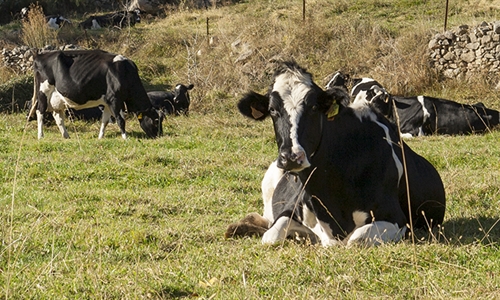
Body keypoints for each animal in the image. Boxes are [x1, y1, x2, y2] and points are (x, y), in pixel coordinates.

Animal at [28, 48, 162, 139]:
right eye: (156, 121)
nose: (160, 135)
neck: (125, 72)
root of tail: (39, 55)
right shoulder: (115, 99)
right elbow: (120, 120)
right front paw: (125, 138)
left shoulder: (108, 102)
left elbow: (105, 120)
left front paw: (100, 137)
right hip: (44, 91)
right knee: (40, 112)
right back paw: (41, 136)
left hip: (57, 98)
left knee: (57, 116)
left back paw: (66, 136)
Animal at [227, 61, 446, 246]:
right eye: (272, 110)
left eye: (314, 107)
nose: (291, 157)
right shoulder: (290, 208)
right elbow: (271, 234)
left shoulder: (397, 219)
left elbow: (355, 240)